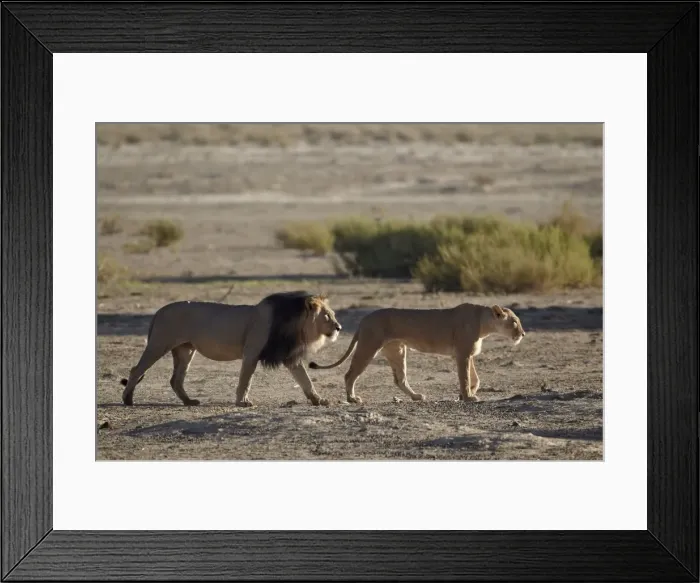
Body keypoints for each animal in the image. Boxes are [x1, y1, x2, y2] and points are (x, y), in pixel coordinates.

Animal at [120, 291, 341, 407]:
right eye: (327, 316)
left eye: (333, 314)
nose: (339, 327)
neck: (296, 324)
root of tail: (159, 311)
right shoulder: (251, 353)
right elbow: (246, 380)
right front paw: (242, 402)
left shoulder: (290, 357)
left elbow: (305, 380)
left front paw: (319, 399)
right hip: (159, 344)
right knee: (136, 370)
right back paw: (127, 399)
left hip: (185, 351)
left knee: (176, 379)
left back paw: (189, 401)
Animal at [309, 303, 524, 404]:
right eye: (514, 322)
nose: (522, 333)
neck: (483, 323)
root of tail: (363, 319)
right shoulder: (462, 353)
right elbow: (464, 377)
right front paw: (468, 397)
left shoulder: (467, 354)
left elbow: (475, 378)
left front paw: (466, 394)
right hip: (369, 346)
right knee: (350, 374)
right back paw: (352, 399)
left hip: (397, 350)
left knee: (400, 379)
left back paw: (416, 397)